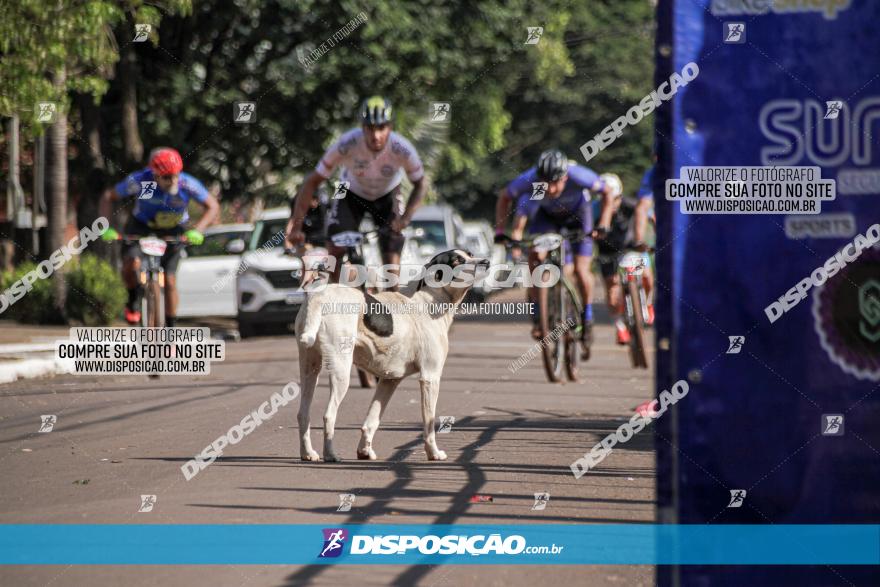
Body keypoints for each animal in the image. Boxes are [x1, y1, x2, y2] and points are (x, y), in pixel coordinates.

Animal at [296, 250, 488, 462]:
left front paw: (364, 451)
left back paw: (308, 453)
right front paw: (433, 453)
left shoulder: (389, 380)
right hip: (341, 372)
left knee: (303, 414)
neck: (429, 299)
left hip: (309, 369)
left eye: (470, 254)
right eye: (457, 261)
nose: (486, 261)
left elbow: (372, 420)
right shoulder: (430, 378)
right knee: (329, 415)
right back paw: (330, 454)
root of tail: (319, 295)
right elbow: (429, 422)